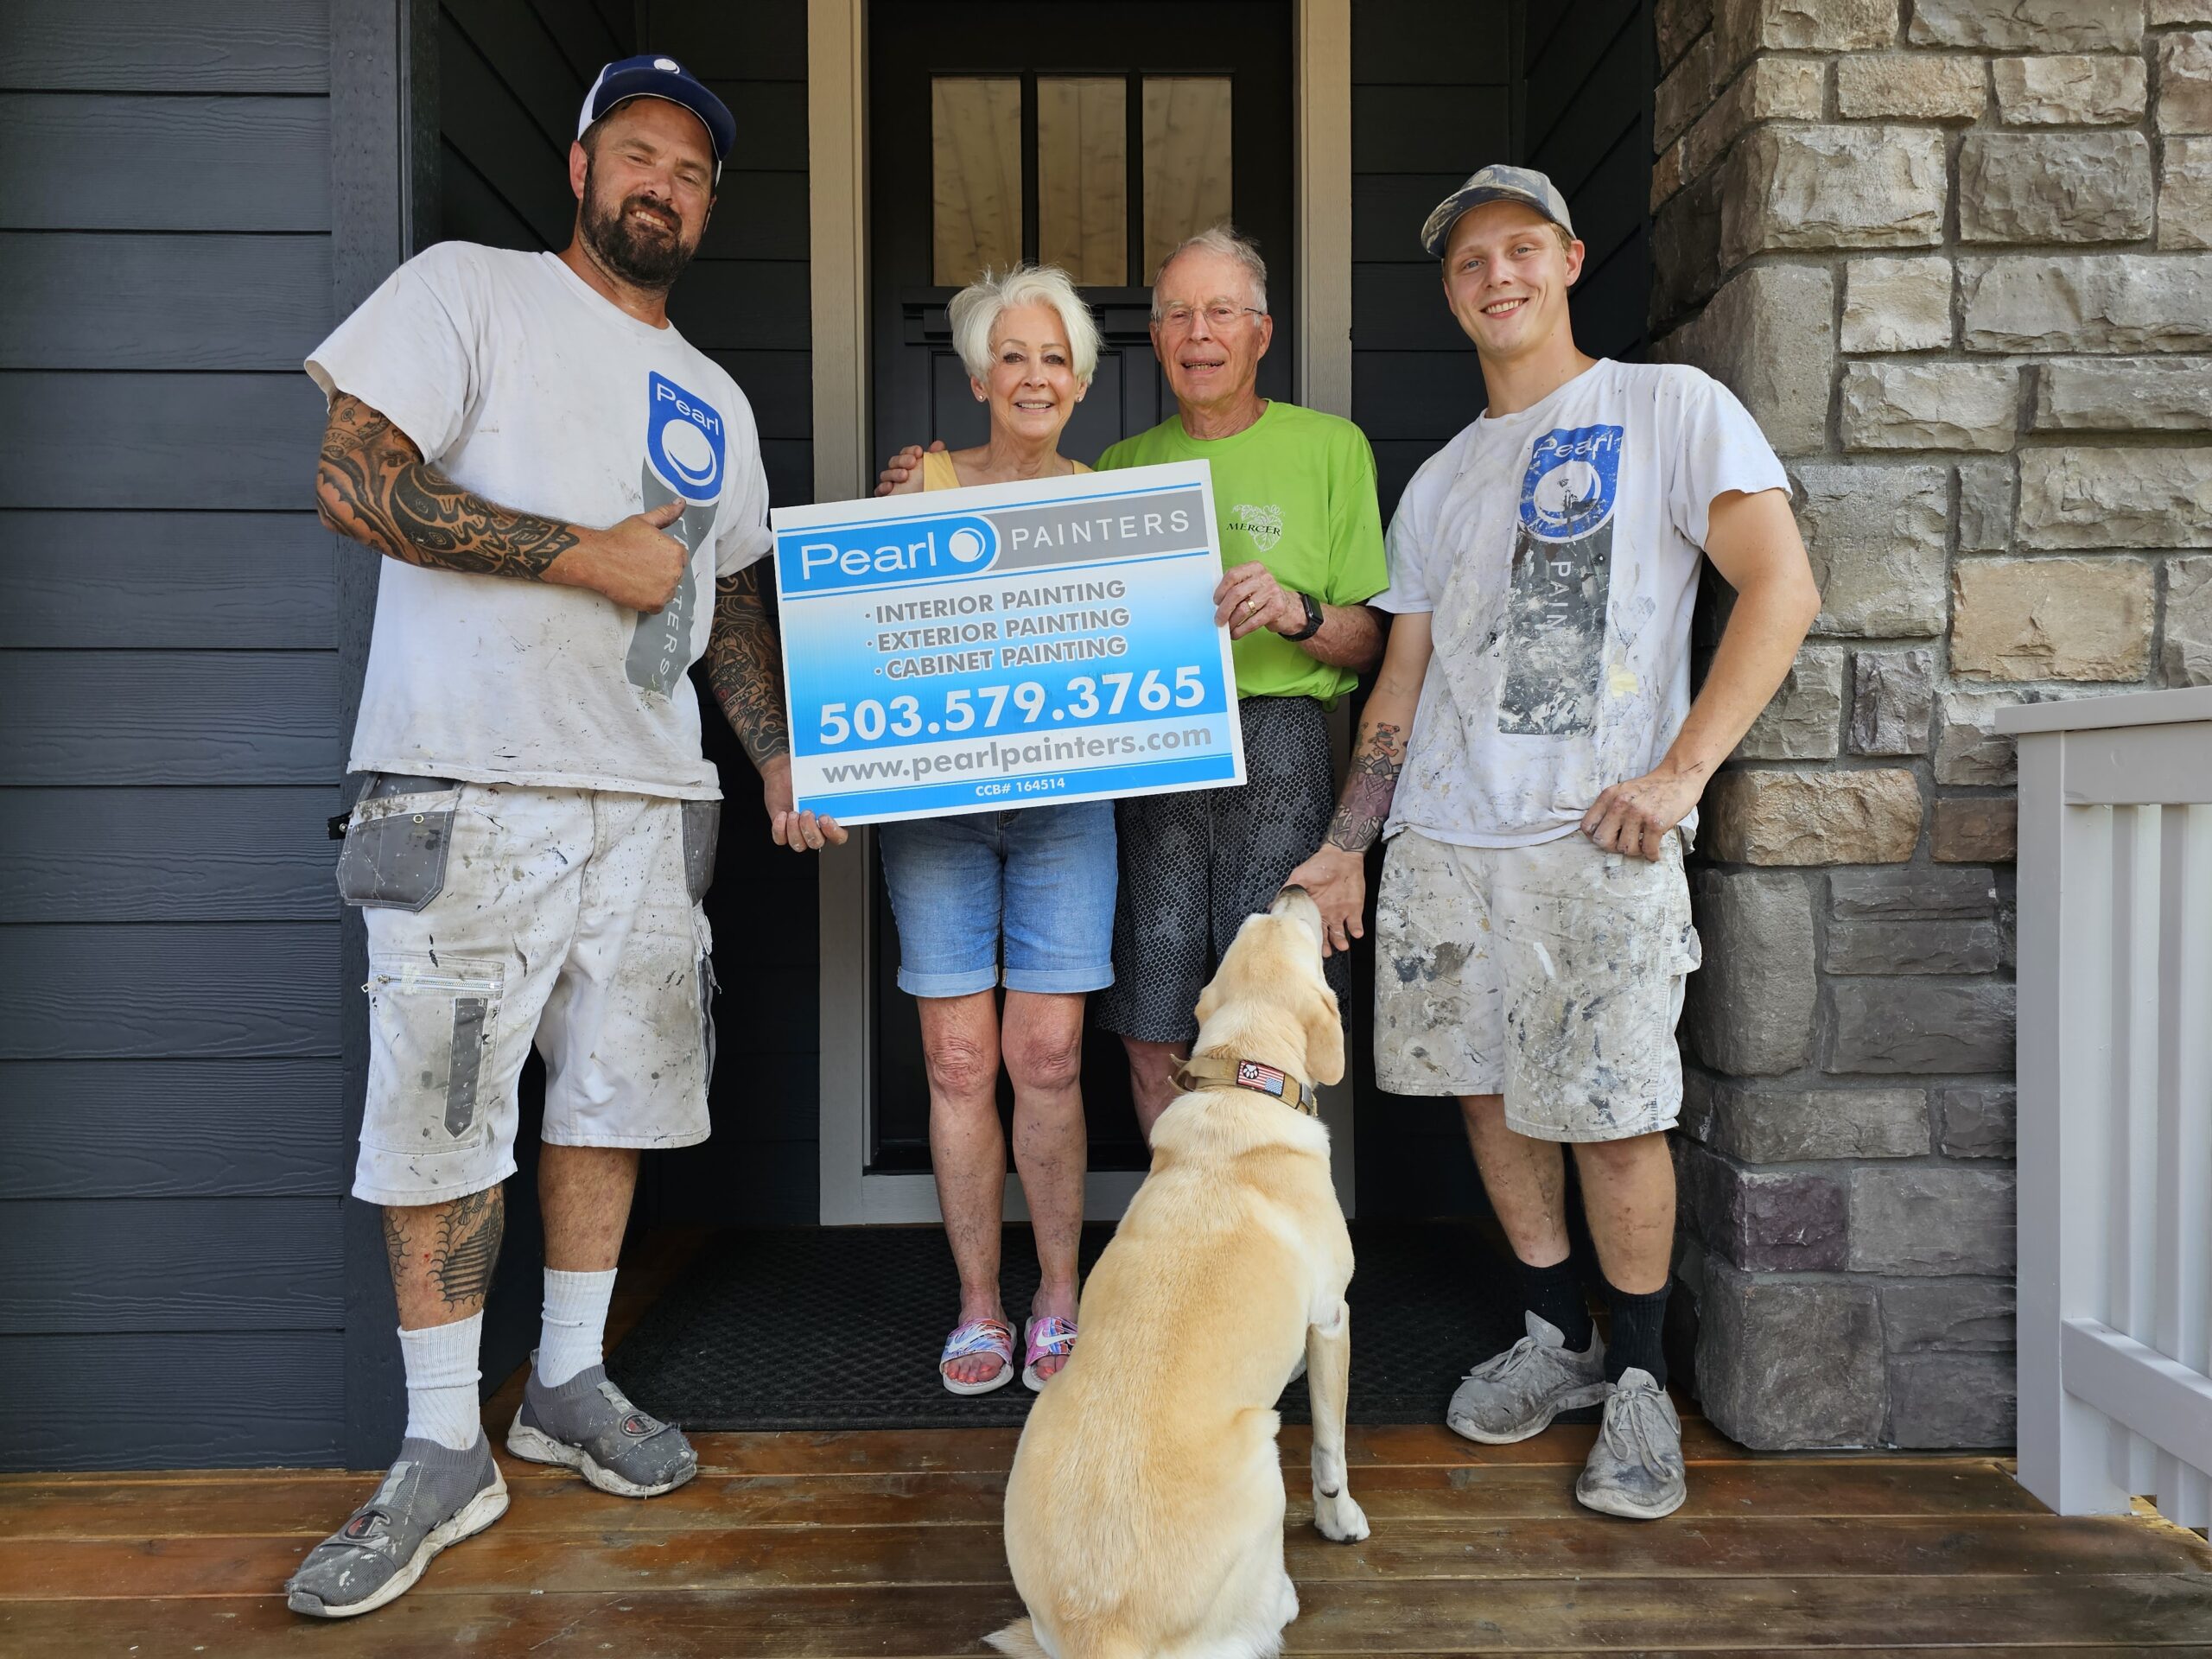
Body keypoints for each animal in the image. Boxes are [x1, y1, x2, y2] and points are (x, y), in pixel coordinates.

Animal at [990, 898, 1362, 1659]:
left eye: (1258, 922)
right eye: (1297, 932)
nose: (1291, 891)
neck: (1246, 1079)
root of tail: (1102, 1632)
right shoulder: (1331, 1319)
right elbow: (1331, 1448)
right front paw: (1341, 1519)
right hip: (1261, 1444)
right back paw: (1281, 1598)